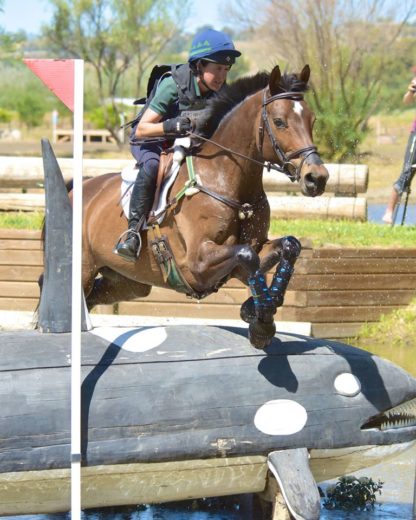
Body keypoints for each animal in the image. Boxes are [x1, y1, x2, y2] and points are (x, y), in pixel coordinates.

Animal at [68, 66, 328, 350]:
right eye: (280, 122)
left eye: (313, 121)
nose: (317, 178)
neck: (227, 181)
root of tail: (79, 188)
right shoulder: (197, 264)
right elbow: (248, 255)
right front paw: (261, 324)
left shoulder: (241, 258)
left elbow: (286, 247)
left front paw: (257, 310)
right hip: (83, 270)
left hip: (127, 280)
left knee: (94, 297)